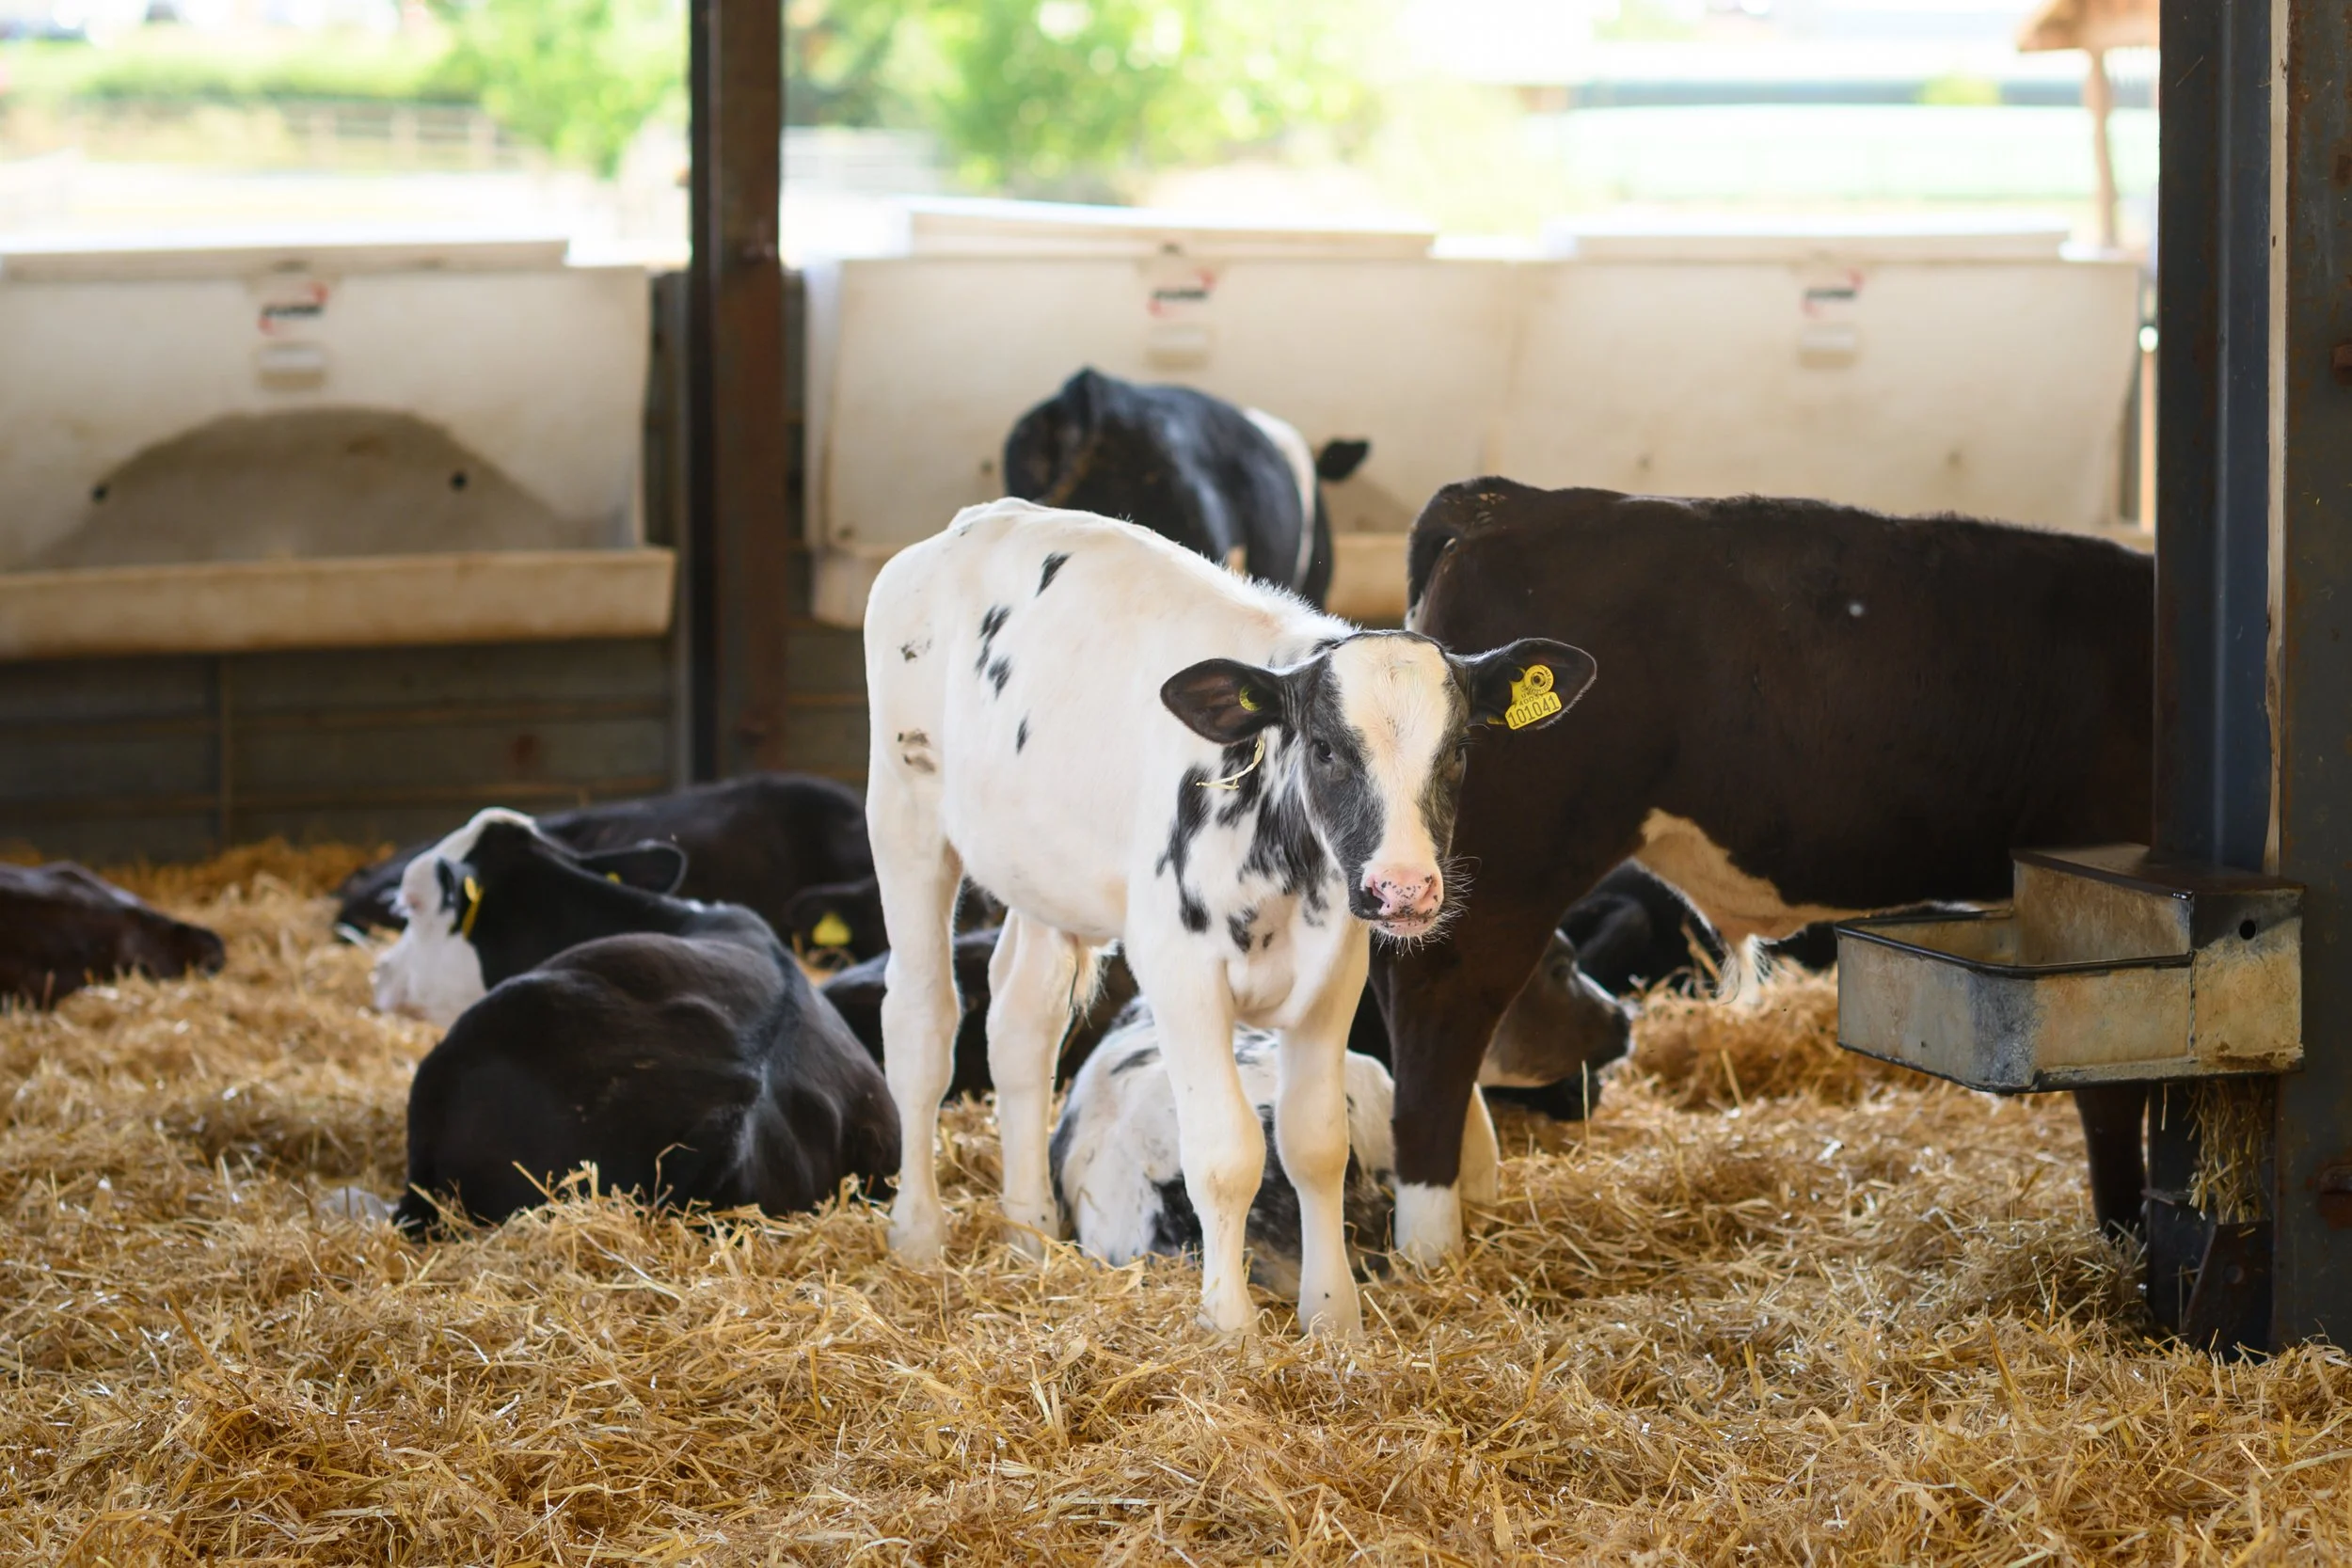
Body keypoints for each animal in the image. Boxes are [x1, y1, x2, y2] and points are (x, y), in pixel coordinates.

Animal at [1372, 479, 2154, 1263]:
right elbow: (2115, 1071)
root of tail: (1510, 501)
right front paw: (2127, 1240)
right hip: (1512, 865)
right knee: (1439, 1020)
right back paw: (1433, 1245)